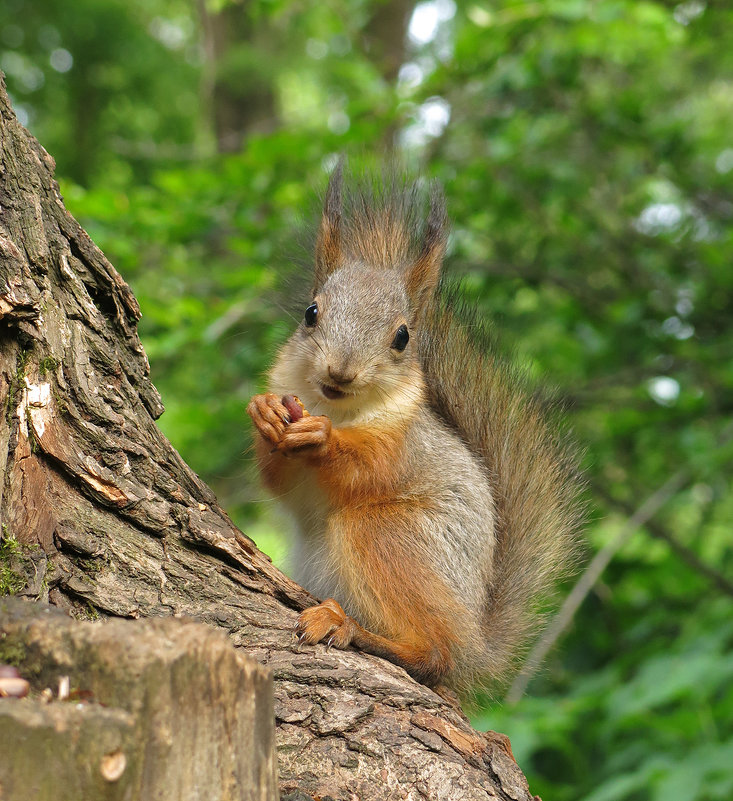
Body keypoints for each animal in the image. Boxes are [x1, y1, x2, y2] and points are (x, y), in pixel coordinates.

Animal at [249, 164, 580, 692]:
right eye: (310, 312)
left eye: (403, 337)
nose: (340, 373)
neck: (338, 409)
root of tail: (473, 640)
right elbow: (279, 479)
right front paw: (264, 414)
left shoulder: (403, 443)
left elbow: (367, 467)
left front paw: (322, 440)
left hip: (390, 533)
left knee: (433, 653)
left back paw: (351, 627)